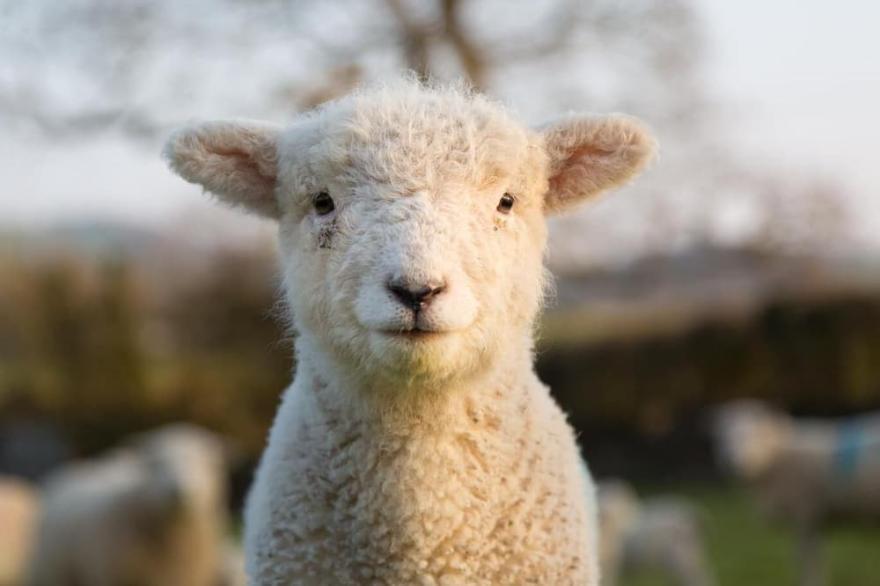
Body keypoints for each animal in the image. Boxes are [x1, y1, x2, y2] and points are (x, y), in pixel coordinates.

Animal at [716, 396, 880, 584]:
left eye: (754, 434)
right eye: (724, 437)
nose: (731, 462)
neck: (778, 458)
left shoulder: (804, 514)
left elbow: (806, 559)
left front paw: (811, 582)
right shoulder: (816, 519)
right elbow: (814, 558)